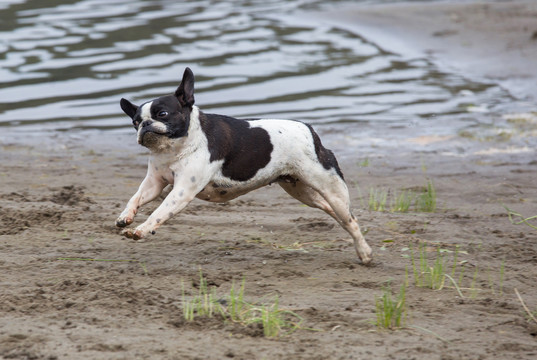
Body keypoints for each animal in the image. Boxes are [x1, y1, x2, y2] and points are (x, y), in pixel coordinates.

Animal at [114, 68, 370, 264]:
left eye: (163, 114)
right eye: (135, 122)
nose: (145, 124)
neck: (174, 148)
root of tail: (310, 131)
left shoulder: (182, 191)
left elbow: (159, 212)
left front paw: (141, 229)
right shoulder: (154, 183)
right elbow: (135, 198)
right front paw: (125, 217)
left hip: (329, 186)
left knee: (350, 219)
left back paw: (364, 252)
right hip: (301, 191)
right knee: (335, 212)